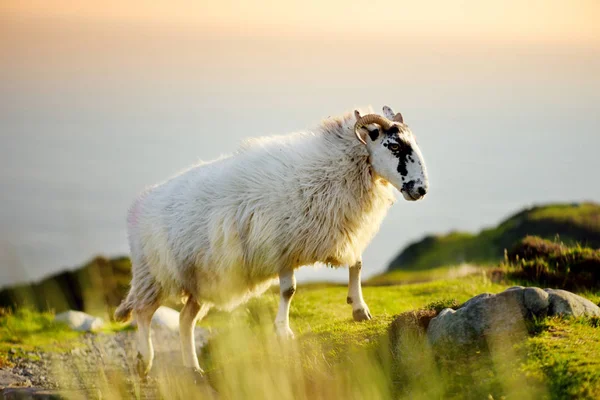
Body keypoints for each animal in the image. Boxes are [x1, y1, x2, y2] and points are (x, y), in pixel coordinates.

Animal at [115, 104, 428, 376]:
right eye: (395, 146)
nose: (421, 189)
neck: (335, 169)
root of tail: (138, 206)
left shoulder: (339, 231)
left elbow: (357, 265)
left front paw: (359, 308)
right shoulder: (282, 246)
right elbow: (289, 291)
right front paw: (283, 331)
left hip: (199, 282)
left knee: (184, 320)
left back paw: (193, 367)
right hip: (152, 275)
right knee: (143, 314)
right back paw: (145, 360)